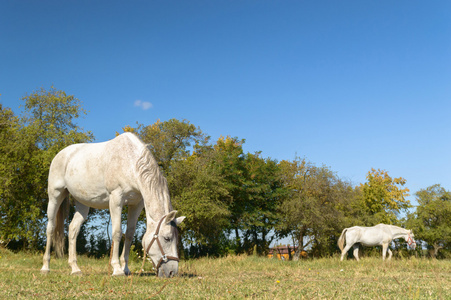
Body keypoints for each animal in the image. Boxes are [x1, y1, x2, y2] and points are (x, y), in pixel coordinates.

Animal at [40, 132, 185, 278]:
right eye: (167, 238)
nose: (172, 272)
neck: (130, 163)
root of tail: (61, 154)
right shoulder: (116, 199)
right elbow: (117, 232)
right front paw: (117, 269)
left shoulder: (136, 204)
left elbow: (129, 234)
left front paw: (126, 269)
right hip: (55, 196)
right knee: (50, 228)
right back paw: (45, 267)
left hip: (82, 203)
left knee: (73, 229)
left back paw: (75, 269)